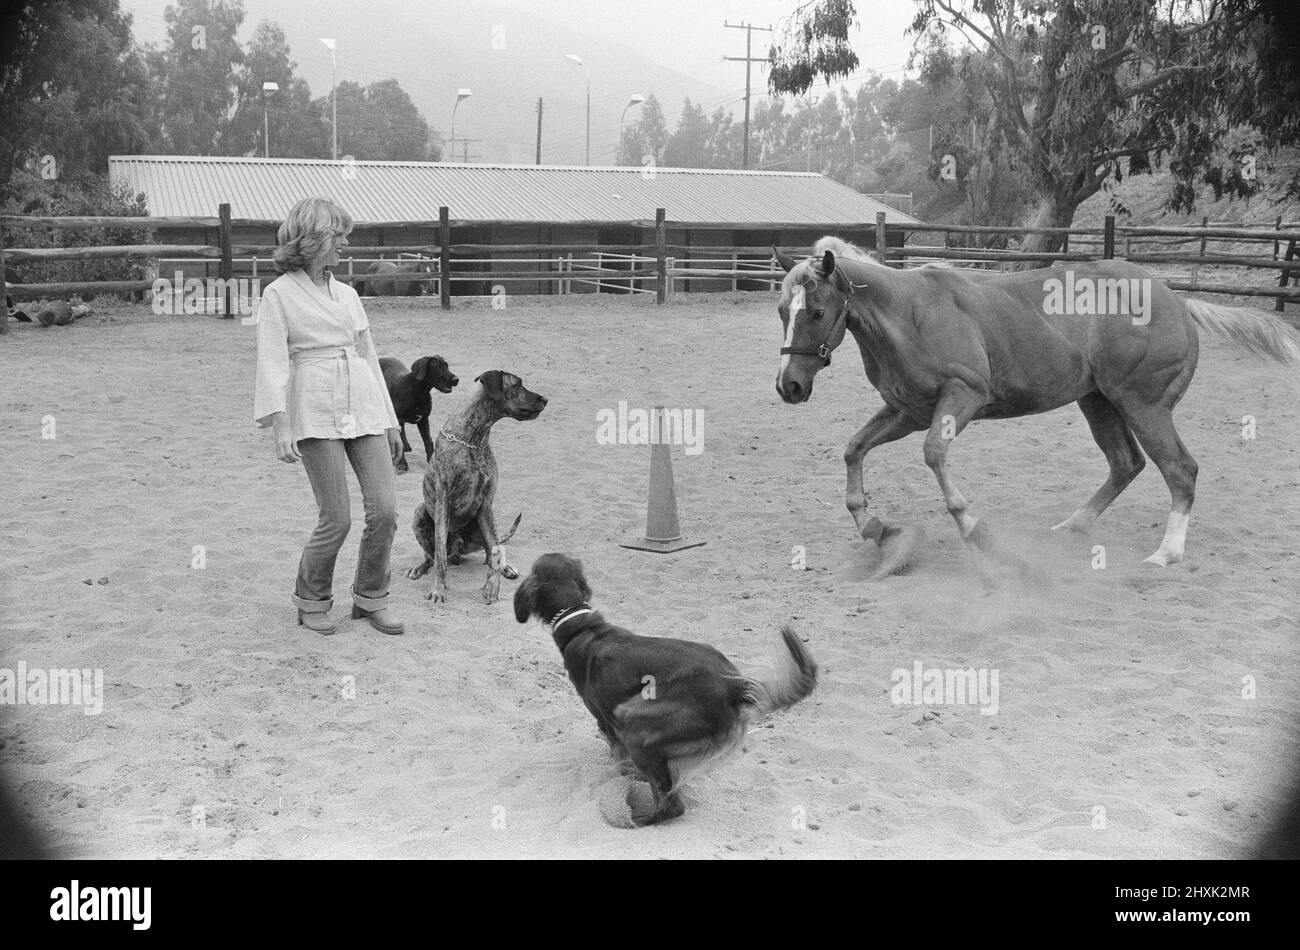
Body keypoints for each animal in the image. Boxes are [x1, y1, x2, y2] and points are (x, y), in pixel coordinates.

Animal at [408, 371, 546, 603]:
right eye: (517, 384)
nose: (545, 399)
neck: (474, 441)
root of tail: (458, 548)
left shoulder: (486, 504)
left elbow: (496, 550)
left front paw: (492, 585)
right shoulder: (443, 502)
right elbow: (440, 559)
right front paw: (438, 589)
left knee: (492, 549)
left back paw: (506, 568)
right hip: (420, 512)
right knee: (431, 556)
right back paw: (419, 568)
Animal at [512, 553, 816, 826]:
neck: (579, 623)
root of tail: (730, 684)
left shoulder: (607, 725)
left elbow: (619, 760)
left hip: (633, 720)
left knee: (671, 805)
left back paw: (635, 819)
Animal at [774, 236, 1294, 571]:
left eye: (816, 312)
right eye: (782, 309)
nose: (789, 386)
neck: (910, 314)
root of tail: (1179, 302)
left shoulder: (962, 397)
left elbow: (934, 454)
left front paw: (973, 529)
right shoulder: (908, 412)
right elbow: (854, 448)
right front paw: (873, 526)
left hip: (1145, 406)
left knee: (1180, 470)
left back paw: (1166, 554)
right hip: (1099, 402)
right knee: (1126, 463)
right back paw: (1071, 526)